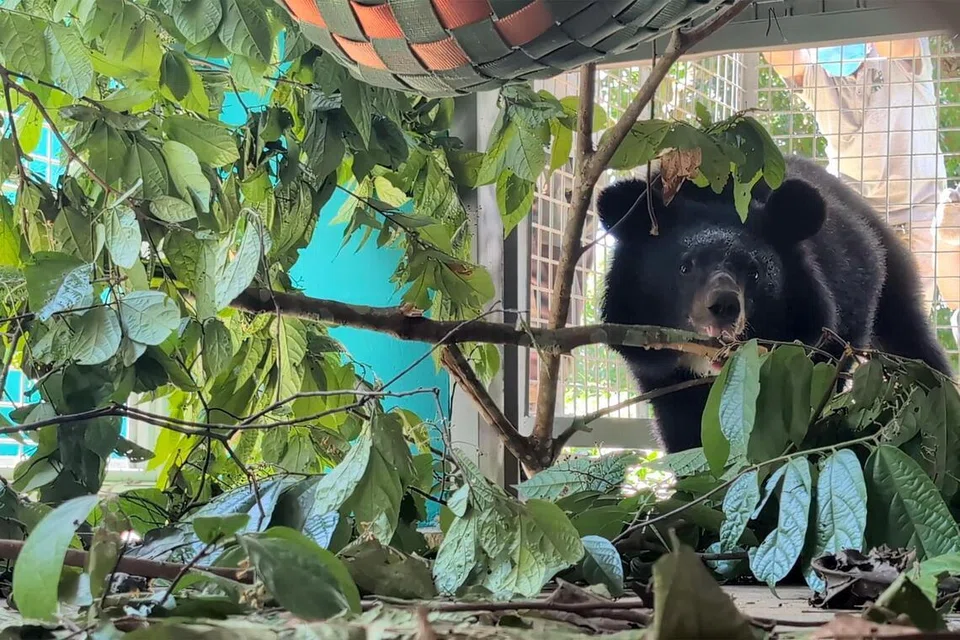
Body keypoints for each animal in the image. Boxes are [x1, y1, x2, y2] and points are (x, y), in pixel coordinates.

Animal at [597, 153, 954, 453]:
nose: (724, 306)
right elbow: (682, 427)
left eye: (754, 273)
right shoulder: (658, 368)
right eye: (685, 267)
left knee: (911, 344)